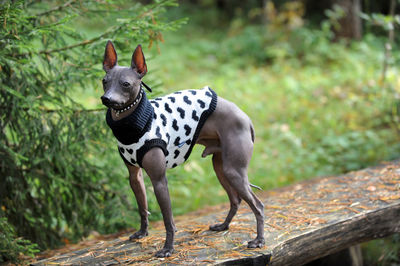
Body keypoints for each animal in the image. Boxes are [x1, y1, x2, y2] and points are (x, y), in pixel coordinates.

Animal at [100, 40, 264, 256]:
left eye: (125, 84)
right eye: (104, 81)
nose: (106, 98)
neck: (136, 122)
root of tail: (245, 116)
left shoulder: (159, 180)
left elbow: (168, 220)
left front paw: (168, 248)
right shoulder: (134, 177)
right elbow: (142, 207)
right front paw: (143, 233)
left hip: (234, 171)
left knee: (258, 205)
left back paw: (259, 240)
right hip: (221, 168)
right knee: (235, 200)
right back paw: (223, 226)